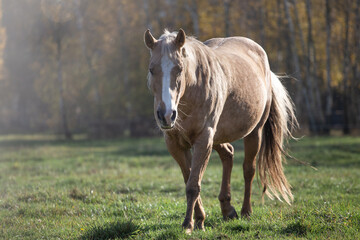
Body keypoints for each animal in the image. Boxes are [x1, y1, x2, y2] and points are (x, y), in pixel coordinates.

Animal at [143, 28, 298, 232]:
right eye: (152, 69)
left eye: (180, 69)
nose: (166, 115)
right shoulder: (175, 144)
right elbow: (189, 179)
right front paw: (199, 219)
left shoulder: (203, 140)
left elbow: (193, 185)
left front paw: (188, 224)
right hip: (218, 138)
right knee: (228, 154)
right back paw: (228, 209)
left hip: (253, 132)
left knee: (248, 169)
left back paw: (246, 212)